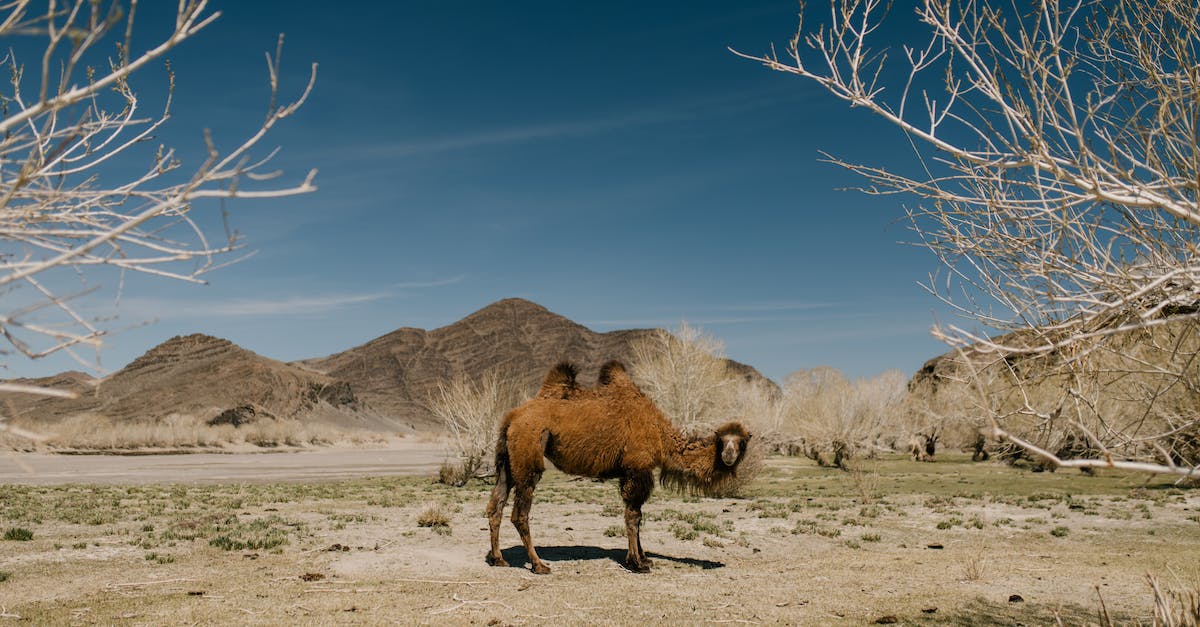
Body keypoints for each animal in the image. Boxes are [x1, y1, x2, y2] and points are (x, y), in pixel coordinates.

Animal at [480, 360, 744, 571]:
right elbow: (633, 515)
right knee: (520, 513)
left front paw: (643, 558)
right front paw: (637, 563)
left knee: (496, 504)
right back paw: (538, 565)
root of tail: (511, 417)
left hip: (506, 460)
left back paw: (498, 559)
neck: (660, 434)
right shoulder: (637, 467)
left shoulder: (631, 472)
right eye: (723, 441)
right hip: (528, 454)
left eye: (742, 441)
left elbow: (636, 514)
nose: (729, 456)